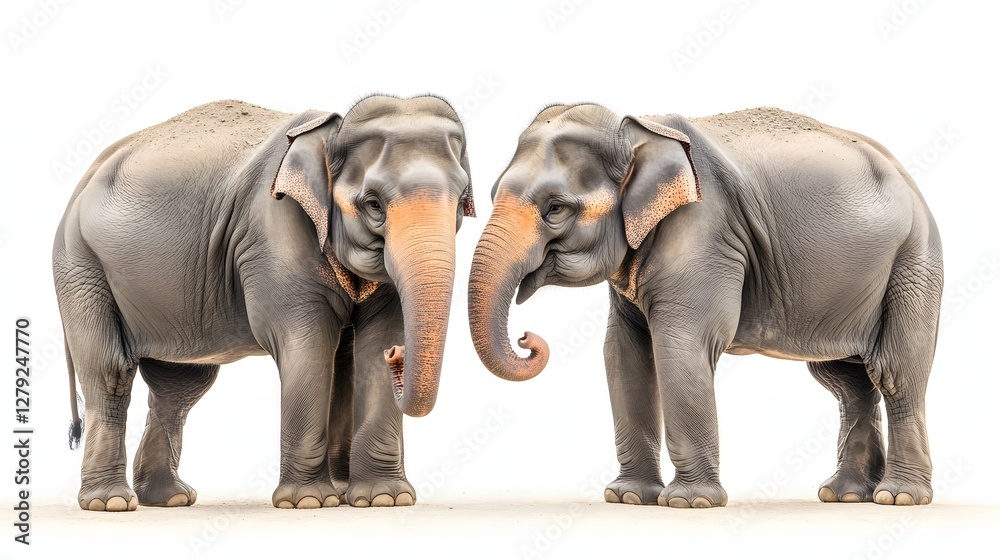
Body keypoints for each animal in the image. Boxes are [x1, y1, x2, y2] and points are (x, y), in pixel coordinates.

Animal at [53, 94, 475, 511]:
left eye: (461, 200)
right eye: (373, 204)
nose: (398, 356)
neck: (331, 135)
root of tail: (84, 178)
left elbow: (372, 343)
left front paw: (381, 498)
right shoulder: (274, 230)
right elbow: (307, 344)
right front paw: (310, 501)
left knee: (179, 386)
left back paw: (169, 498)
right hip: (81, 266)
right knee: (111, 371)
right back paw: (110, 502)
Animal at [468, 104, 942, 508]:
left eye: (555, 208)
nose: (526, 337)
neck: (640, 129)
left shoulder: (705, 229)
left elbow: (681, 345)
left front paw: (688, 502)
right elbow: (623, 352)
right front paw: (629, 498)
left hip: (913, 262)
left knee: (894, 373)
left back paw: (898, 497)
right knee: (846, 381)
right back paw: (846, 495)